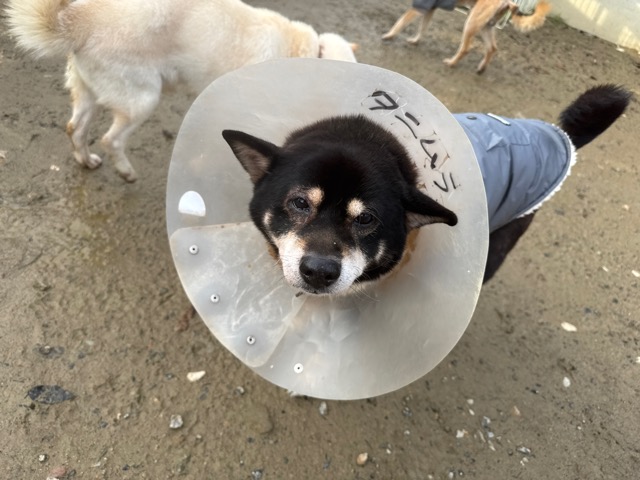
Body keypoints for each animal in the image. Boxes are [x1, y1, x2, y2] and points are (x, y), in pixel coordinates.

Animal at [5, 0, 357, 182]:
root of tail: (78, 21)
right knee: (110, 139)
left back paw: (86, 160)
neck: (309, 54)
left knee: (75, 129)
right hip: (143, 100)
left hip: (89, 92)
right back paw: (126, 171)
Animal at [382, 0, 551, 73]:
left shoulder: (420, 7)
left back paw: (451, 62)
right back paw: (481, 68)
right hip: (485, 26)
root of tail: (510, 2)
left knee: (466, 48)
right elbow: (422, 28)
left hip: (471, 22)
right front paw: (415, 40)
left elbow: (400, 22)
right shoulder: (430, 9)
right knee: (492, 48)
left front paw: (389, 35)